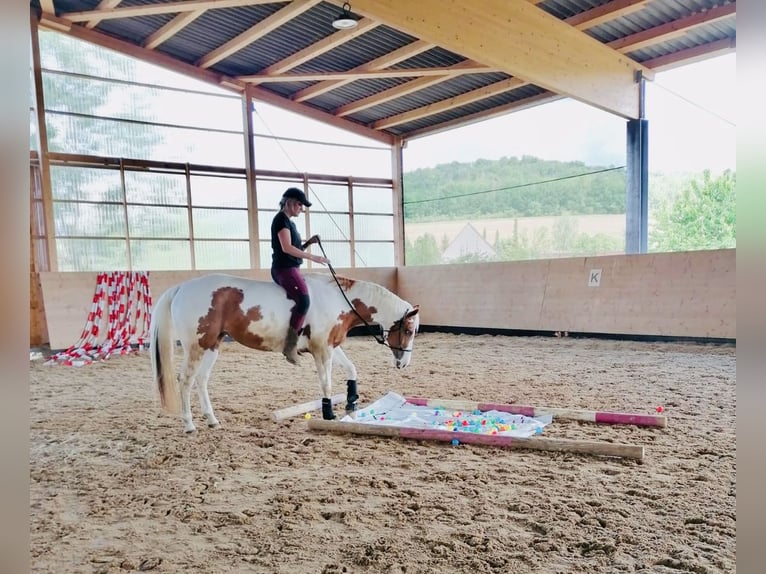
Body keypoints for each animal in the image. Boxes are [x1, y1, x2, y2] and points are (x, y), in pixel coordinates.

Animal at [149, 272, 420, 433]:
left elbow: (351, 370)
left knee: (201, 380)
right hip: (196, 346)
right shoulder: (322, 350)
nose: (404, 363)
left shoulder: (332, 346)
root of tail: (181, 288)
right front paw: (328, 413)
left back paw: (211, 419)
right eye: (408, 329)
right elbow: (326, 383)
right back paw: (189, 424)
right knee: (185, 381)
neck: (338, 300)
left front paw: (351, 403)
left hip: (212, 345)